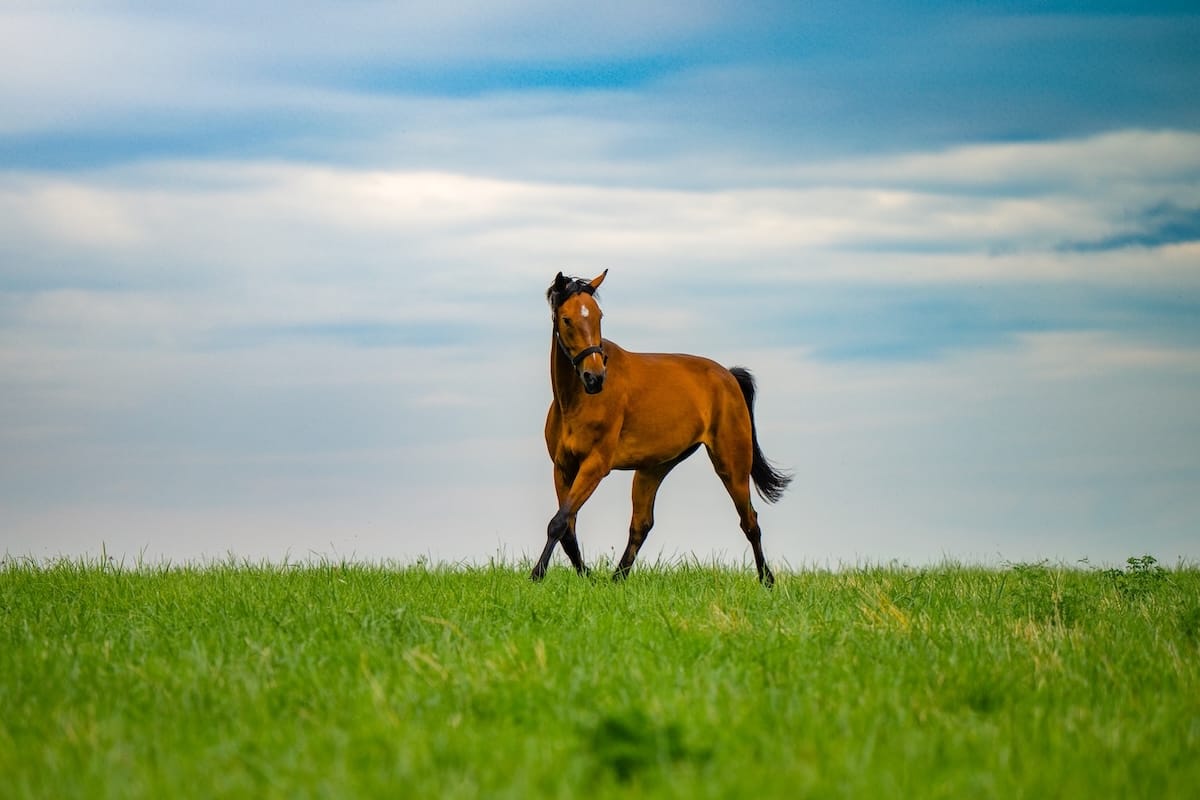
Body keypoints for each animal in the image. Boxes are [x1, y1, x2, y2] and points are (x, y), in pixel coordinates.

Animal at [531, 270, 792, 586]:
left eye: (598, 316)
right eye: (567, 319)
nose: (595, 377)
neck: (574, 402)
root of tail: (728, 376)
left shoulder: (594, 466)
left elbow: (558, 522)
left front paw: (537, 575)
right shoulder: (563, 467)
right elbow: (566, 528)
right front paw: (587, 578)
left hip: (732, 465)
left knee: (750, 521)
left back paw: (767, 581)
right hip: (653, 468)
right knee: (641, 524)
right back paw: (617, 579)